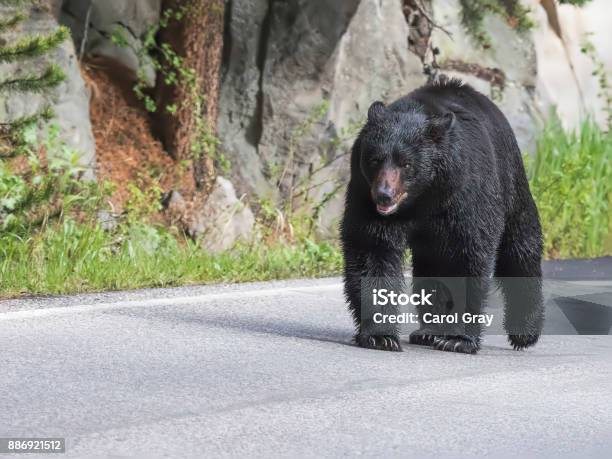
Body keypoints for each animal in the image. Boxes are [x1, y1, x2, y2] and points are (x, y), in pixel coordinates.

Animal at [340, 76, 544, 356]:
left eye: (406, 163)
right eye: (374, 160)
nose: (383, 196)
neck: (424, 197)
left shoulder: (466, 193)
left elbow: (470, 255)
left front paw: (458, 340)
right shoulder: (364, 194)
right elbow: (373, 249)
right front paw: (381, 337)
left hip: (511, 181)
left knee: (521, 248)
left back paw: (524, 333)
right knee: (431, 268)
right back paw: (429, 331)